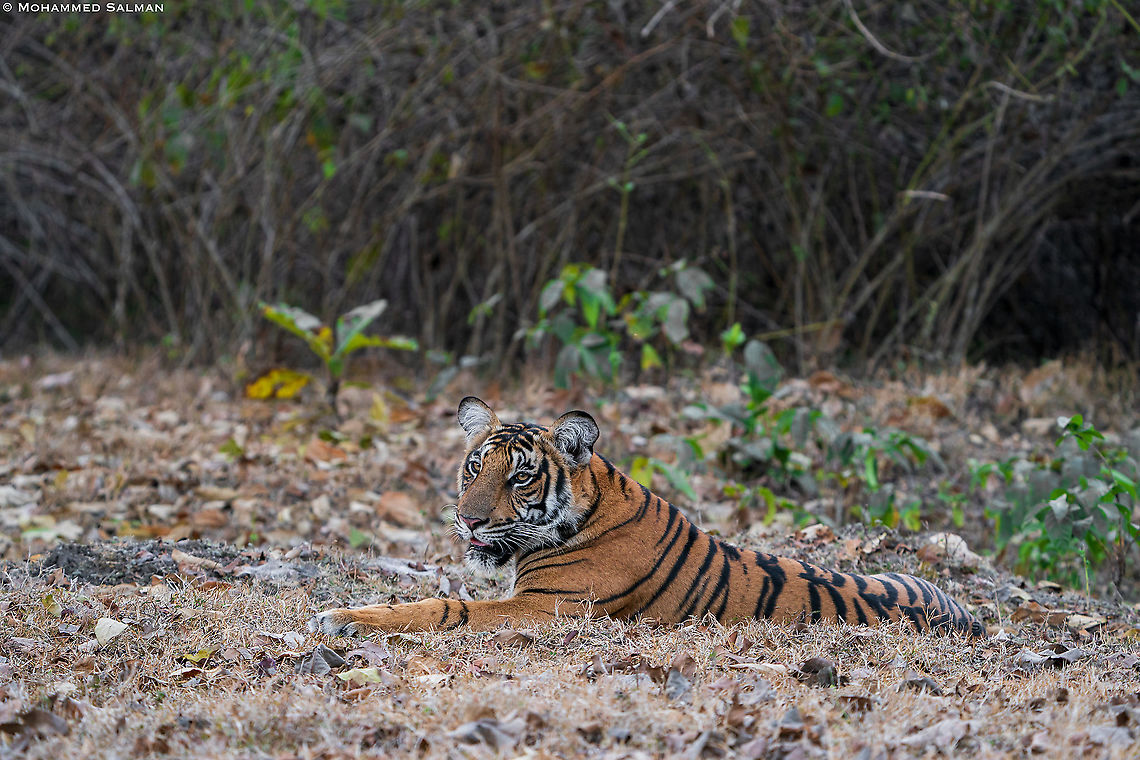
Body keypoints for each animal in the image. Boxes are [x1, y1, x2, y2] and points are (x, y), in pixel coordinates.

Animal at [309, 396, 984, 637]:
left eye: (520, 476)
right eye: (475, 466)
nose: (469, 523)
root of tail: (966, 610)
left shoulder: (544, 608)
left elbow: (446, 607)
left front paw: (340, 616)